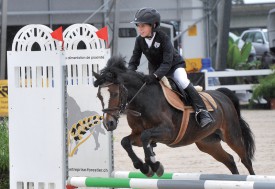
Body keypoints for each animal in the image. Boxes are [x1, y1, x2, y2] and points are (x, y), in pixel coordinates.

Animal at [93, 55, 256, 176]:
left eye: (115, 94)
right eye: (99, 96)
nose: (109, 124)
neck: (141, 103)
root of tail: (223, 95)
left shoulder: (168, 132)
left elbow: (146, 137)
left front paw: (154, 165)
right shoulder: (137, 135)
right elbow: (125, 142)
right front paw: (144, 167)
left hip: (232, 136)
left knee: (245, 159)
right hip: (207, 142)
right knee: (230, 160)